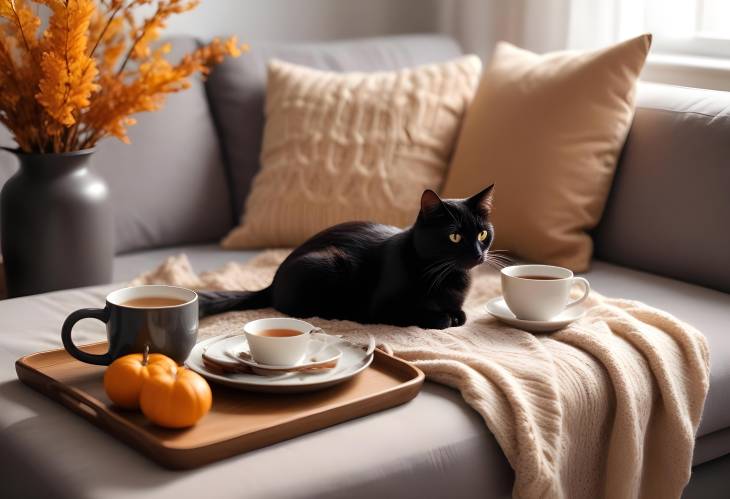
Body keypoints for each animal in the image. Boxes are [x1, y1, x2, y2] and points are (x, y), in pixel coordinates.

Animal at [198, 186, 494, 330]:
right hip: (327, 263)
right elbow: (437, 317)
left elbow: (462, 313)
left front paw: (455, 314)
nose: (478, 254)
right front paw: (444, 318)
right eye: (455, 236)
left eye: (482, 234)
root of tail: (271, 283)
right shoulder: (383, 309)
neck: (447, 277)